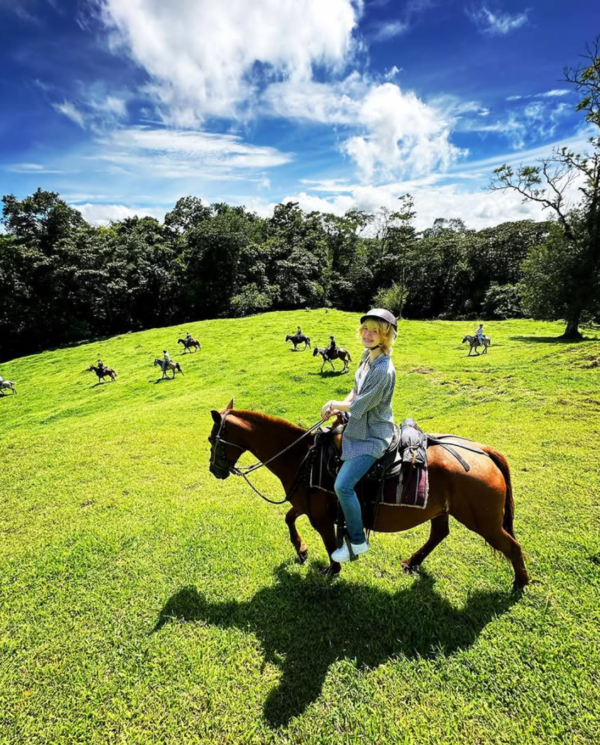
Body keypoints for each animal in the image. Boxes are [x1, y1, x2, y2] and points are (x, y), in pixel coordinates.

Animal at [209, 404, 528, 588]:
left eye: (213, 440)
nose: (214, 470)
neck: (303, 458)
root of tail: (483, 451)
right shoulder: (305, 504)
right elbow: (289, 519)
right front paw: (301, 550)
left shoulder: (321, 517)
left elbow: (329, 544)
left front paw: (332, 569)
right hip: (441, 509)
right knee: (439, 533)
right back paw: (413, 562)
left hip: (483, 521)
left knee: (512, 546)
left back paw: (520, 582)